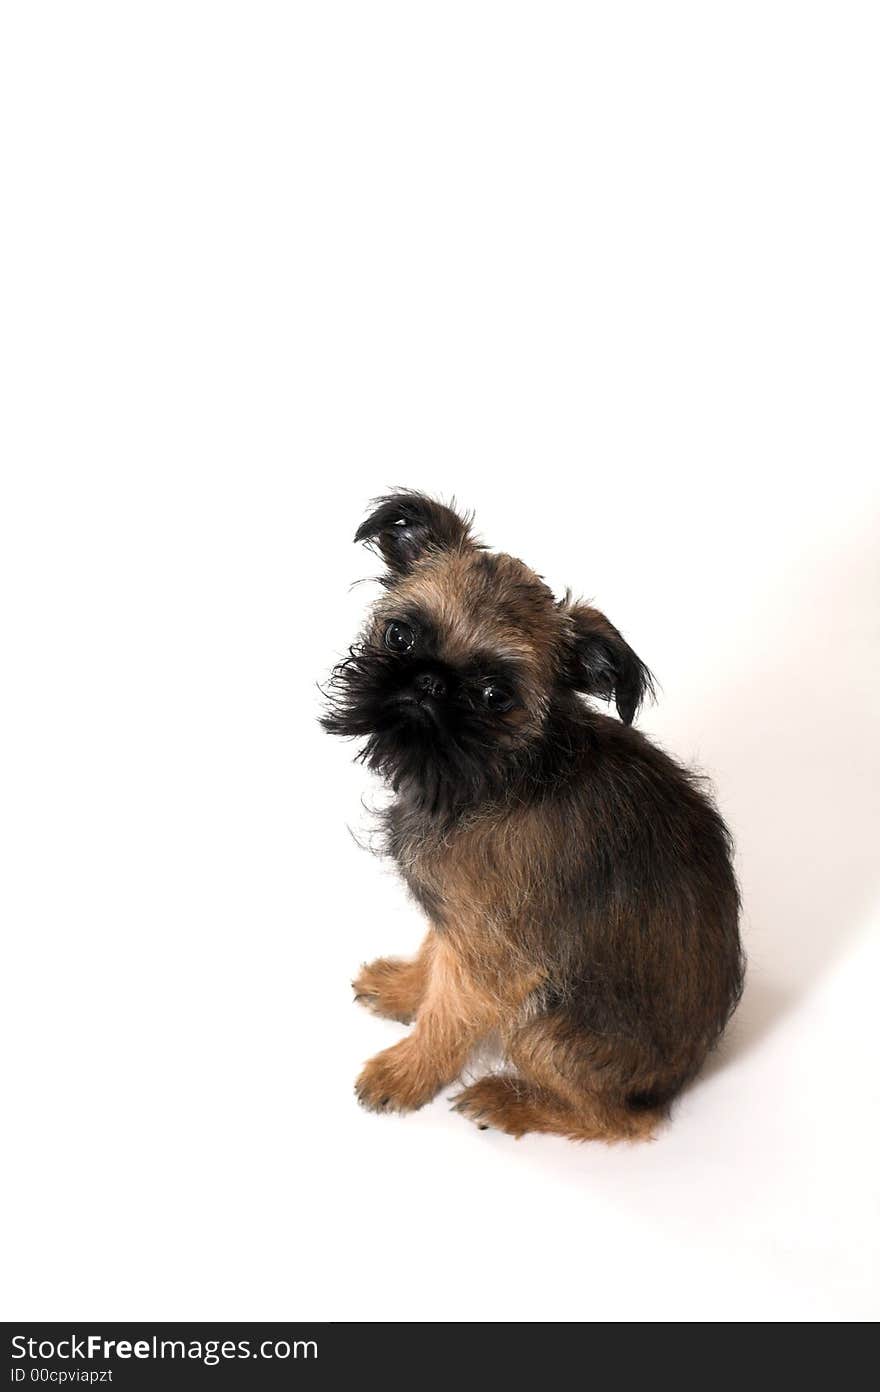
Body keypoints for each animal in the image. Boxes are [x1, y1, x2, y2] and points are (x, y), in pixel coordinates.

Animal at [323, 495, 740, 1135]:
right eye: (400, 635)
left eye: (496, 696)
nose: (430, 681)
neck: (503, 776)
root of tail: (675, 1084)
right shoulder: (462, 923)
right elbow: (435, 953)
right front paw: (404, 989)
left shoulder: (493, 958)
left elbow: (447, 1012)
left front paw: (406, 1071)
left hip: (542, 1030)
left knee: (614, 1121)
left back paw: (510, 1100)